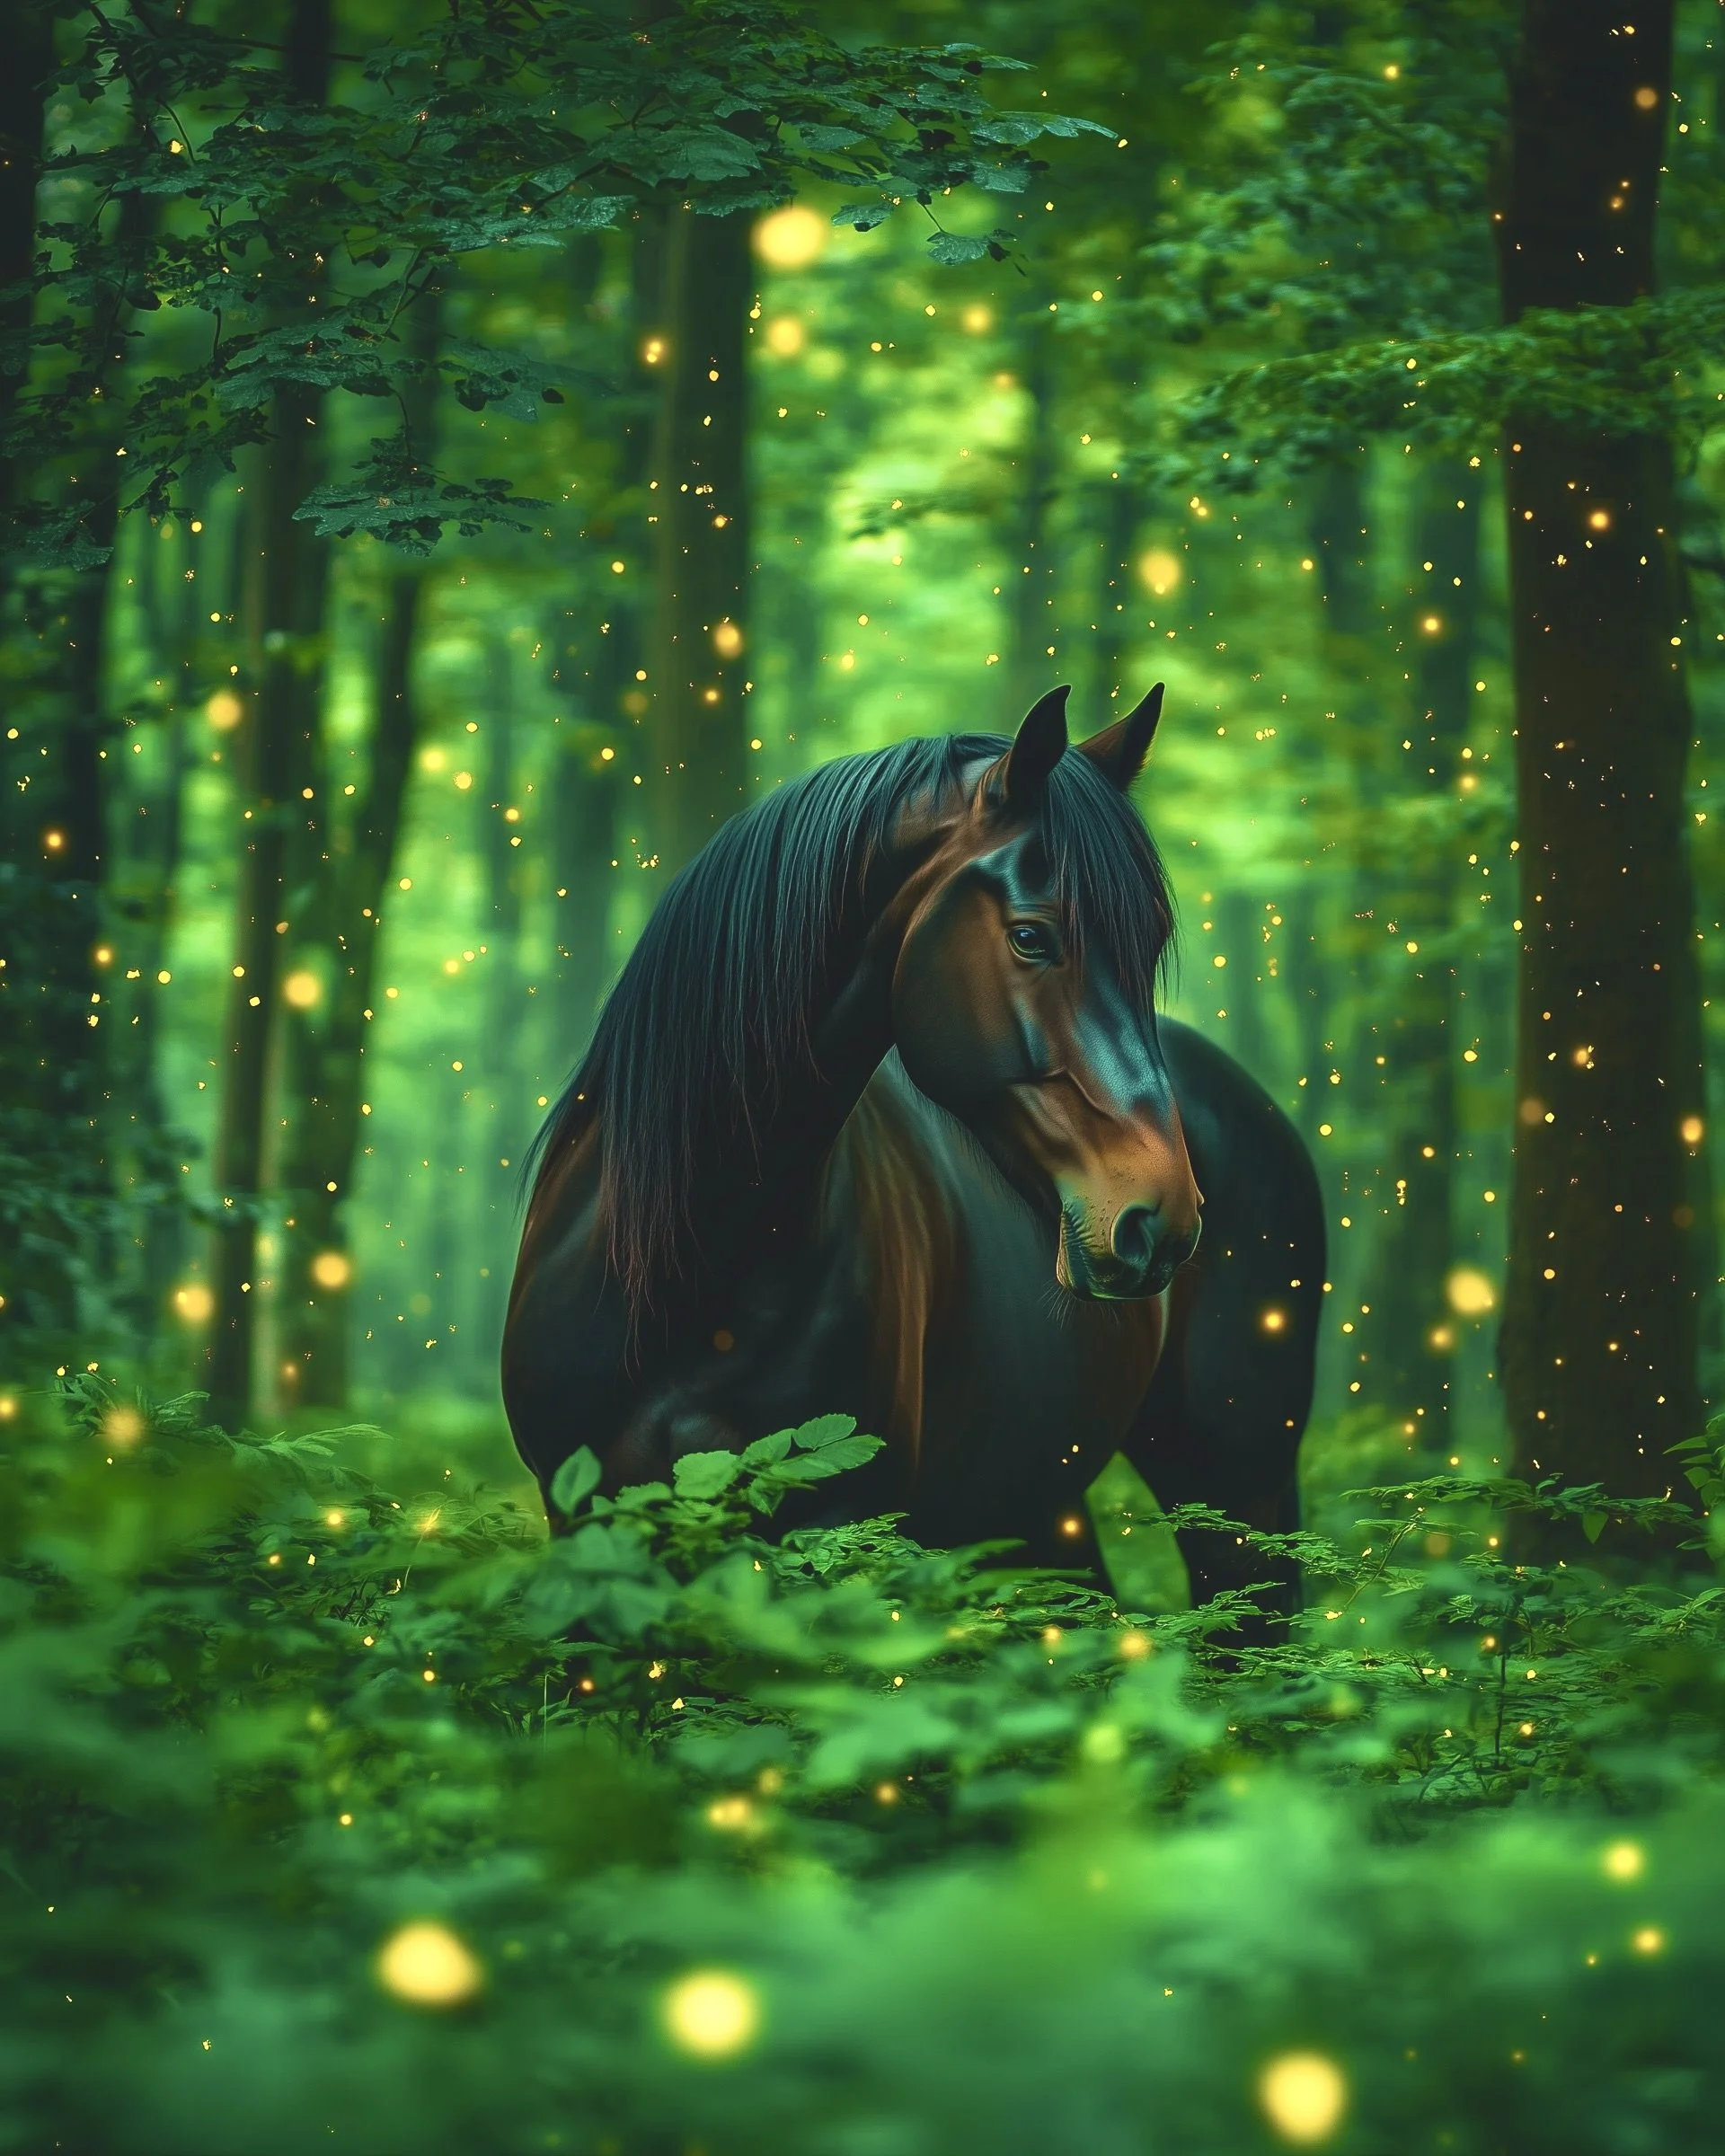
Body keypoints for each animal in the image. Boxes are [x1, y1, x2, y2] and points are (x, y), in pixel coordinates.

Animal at [503, 685, 1325, 1610]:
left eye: (1149, 943)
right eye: (1032, 937)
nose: (1164, 1221)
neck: (685, 1276)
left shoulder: (833, 1528)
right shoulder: (587, 1527)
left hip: (1237, 1494)